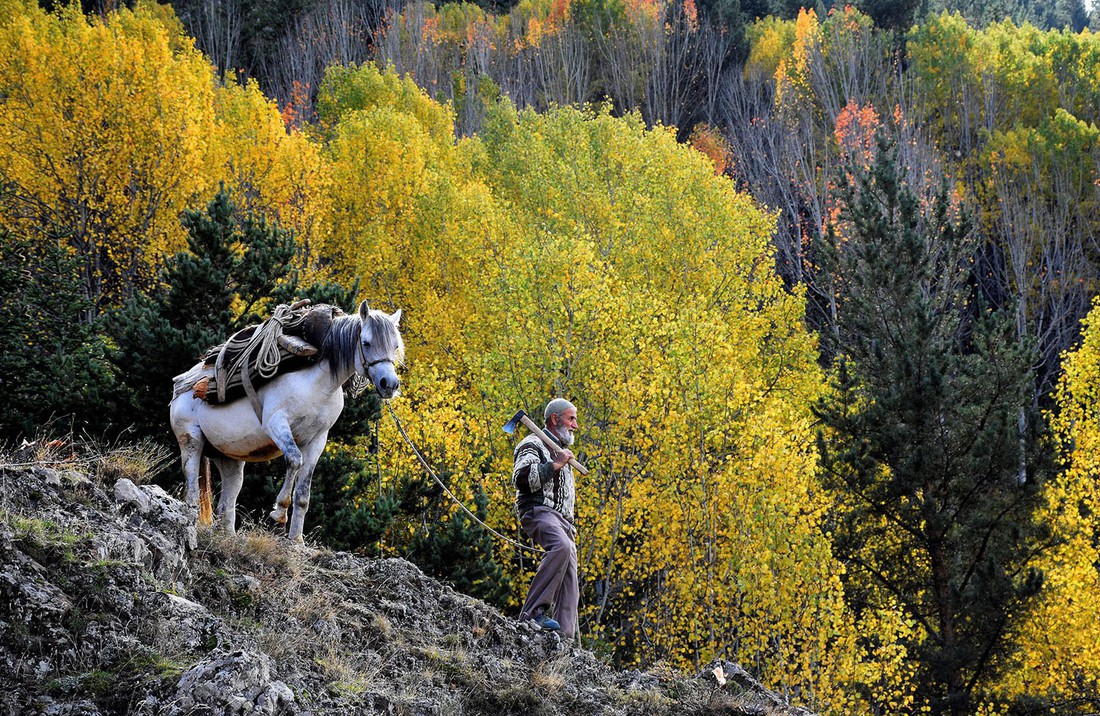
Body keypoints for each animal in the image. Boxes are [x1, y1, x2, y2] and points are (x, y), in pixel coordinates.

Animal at [167, 303, 400, 543]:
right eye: (367, 342)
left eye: (395, 345)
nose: (389, 384)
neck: (317, 383)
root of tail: (181, 388)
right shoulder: (276, 424)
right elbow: (294, 460)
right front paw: (279, 512)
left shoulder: (317, 440)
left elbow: (303, 494)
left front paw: (296, 540)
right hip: (191, 442)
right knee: (193, 491)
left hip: (229, 459)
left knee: (227, 504)